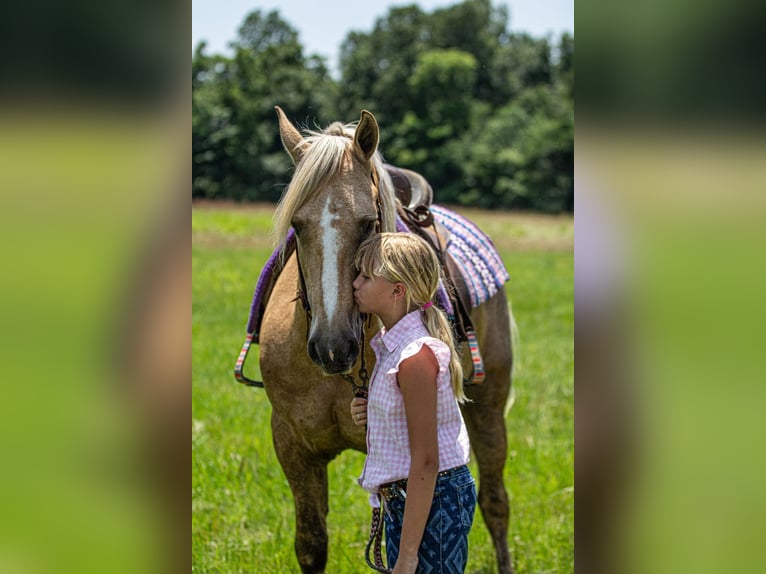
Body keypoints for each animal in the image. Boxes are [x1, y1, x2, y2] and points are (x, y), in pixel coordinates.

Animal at [256, 106, 515, 574]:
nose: (332, 346)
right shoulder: (292, 446)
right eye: (297, 226)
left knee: (494, 501)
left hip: (489, 408)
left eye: (367, 224)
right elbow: (311, 544)